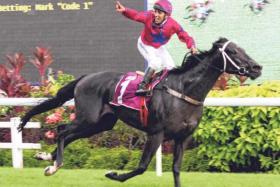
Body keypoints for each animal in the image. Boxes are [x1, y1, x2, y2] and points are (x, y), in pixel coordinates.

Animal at [18, 38, 262, 187]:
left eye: (242, 49)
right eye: (232, 51)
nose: (256, 67)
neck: (184, 91)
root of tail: (85, 77)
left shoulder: (183, 137)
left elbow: (176, 168)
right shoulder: (156, 133)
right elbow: (142, 167)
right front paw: (112, 174)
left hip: (101, 123)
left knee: (67, 134)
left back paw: (47, 158)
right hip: (89, 117)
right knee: (62, 130)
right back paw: (54, 165)